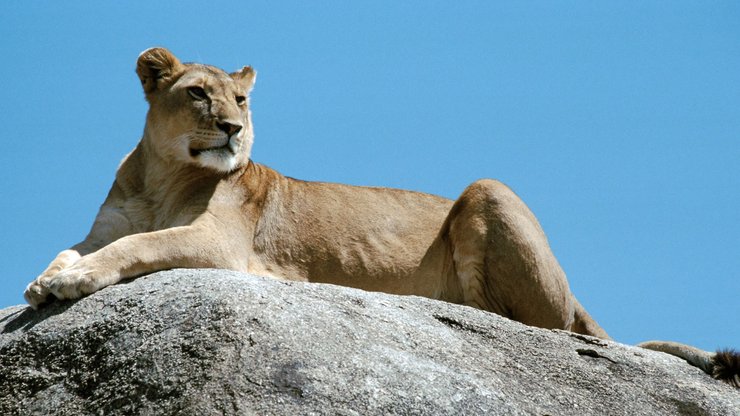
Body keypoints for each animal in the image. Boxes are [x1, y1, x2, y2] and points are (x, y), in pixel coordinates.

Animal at [21, 48, 736, 386]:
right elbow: (72, 247)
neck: (161, 176)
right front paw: (43, 282)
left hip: (489, 190)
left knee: (532, 323)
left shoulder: (219, 243)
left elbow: (134, 249)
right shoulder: (101, 227)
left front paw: (69, 283)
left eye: (241, 100)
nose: (232, 129)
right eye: (198, 93)